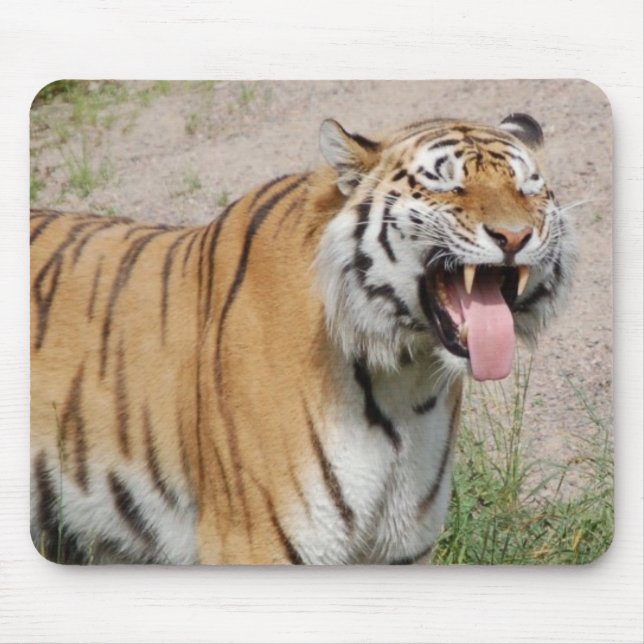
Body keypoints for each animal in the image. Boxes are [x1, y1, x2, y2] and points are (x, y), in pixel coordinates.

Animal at [30, 112, 575, 564]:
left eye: (528, 189)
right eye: (447, 185)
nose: (514, 237)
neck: (406, 378)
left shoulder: (402, 548)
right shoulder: (254, 541)